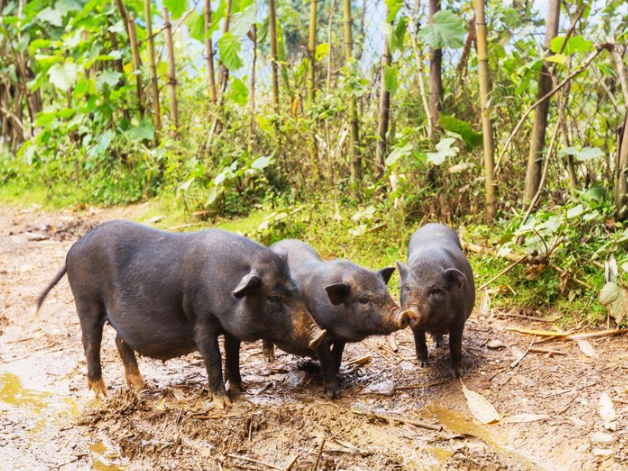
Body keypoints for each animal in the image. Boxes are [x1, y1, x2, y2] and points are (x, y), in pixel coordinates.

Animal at [33, 221, 328, 410]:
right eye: (274, 298)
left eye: (295, 290)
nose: (319, 333)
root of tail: (74, 248)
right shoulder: (201, 323)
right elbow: (213, 358)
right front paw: (222, 403)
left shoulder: (230, 328)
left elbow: (233, 356)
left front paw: (241, 389)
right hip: (86, 302)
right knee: (89, 344)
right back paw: (102, 395)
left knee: (119, 341)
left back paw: (140, 385)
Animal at [262, 240, 410, 398]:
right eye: (364, 300)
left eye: (386, 292)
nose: (403, 314)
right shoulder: (320, 333)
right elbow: (327, 360)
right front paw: (334, 395)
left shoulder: (341, 337)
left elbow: (338, 353)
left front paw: (338, 371)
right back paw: (268, 359)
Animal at [400, 223, 474, 378]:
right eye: (407, 288)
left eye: (435, 291)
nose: (412, 310)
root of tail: (432, 224)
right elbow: (419, 340)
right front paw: (423, 365)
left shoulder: (459, 318)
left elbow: (455, 343)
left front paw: (458, 374)